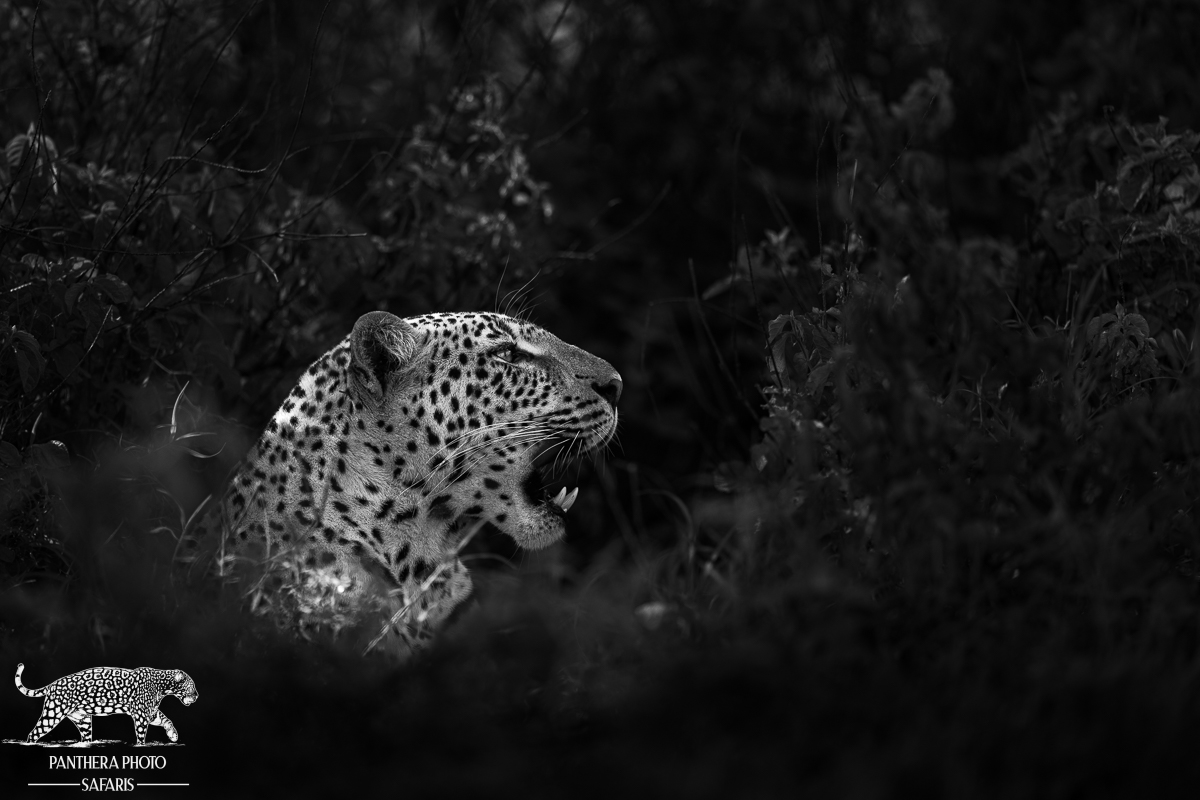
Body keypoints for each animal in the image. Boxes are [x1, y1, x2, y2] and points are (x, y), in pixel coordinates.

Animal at [15, 662, 199, 744]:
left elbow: (167, 719)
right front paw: (141, 745)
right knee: (34, 733)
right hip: (53, 713)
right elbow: (141, 734)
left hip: (82, 720)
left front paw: (173, 735)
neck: (162, 686)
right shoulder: (141, 715)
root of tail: (51, 685)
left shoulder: (151, 713)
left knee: (85, 737)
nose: (197, 696)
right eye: (192, 686)